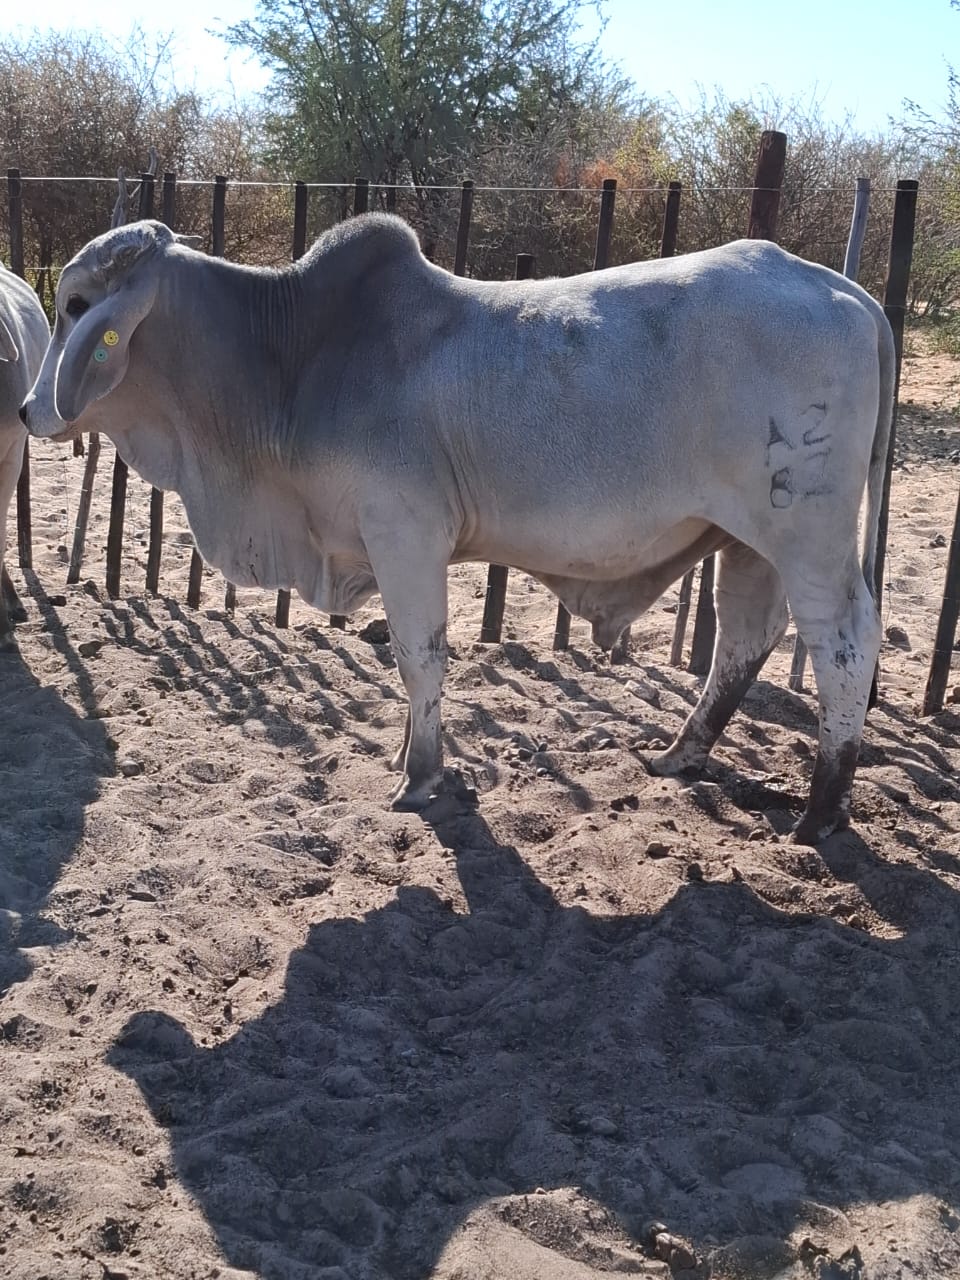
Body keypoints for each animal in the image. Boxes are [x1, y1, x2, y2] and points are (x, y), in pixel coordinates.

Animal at [20, 216, 896, 844]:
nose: (29, 411)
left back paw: (822, 810)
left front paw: (419, 776)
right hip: (750, 536)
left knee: (844, 640)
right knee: (748, 634)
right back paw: (682, 754)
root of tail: (843, 290)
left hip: (807, 531)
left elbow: (420, 658)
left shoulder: (404, 532)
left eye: (76, 307)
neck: (291, 360)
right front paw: (410, 757)